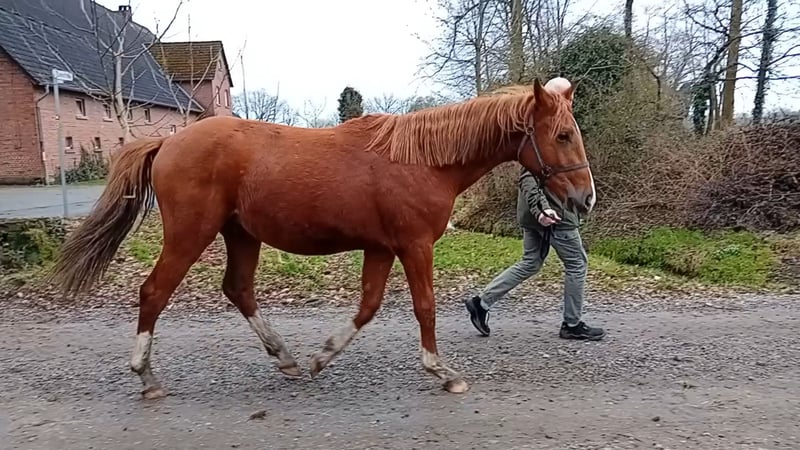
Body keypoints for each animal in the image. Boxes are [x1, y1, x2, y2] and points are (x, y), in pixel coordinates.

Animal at [48, 77, 595, 399]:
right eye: (563, 135)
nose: (585, 199)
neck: (422, 160)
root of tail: (167, 142)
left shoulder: (381, 248)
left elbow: (368, 306)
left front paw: (321, 357)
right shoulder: (414, 246)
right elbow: (424, 307)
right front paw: (443, 372)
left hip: (240, 234)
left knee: (238, 289)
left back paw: (286, 359)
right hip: (191, 234)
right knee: (154, 292)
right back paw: (146, 376)